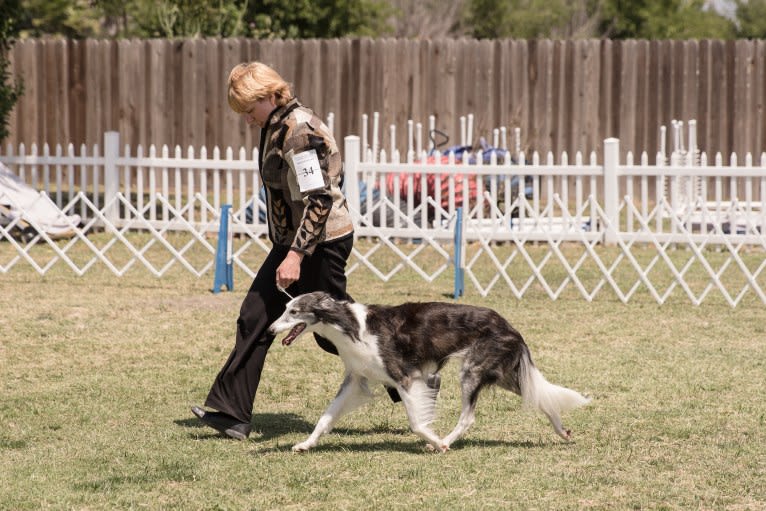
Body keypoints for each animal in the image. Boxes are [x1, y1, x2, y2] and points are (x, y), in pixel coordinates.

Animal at [268, 292, 592, 452]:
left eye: (294, 312)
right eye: (284, 308)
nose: (270, 330)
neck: (350, 326)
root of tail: (510, 327)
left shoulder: (406, 378)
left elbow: (417, 423)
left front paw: (435, 442)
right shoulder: (355, 380)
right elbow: (325, 418)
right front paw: (305, 444)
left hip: (472, 371)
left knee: (468, 418)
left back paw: (447, 441)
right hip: (504, 374)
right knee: (541, 397)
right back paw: (562, 430)